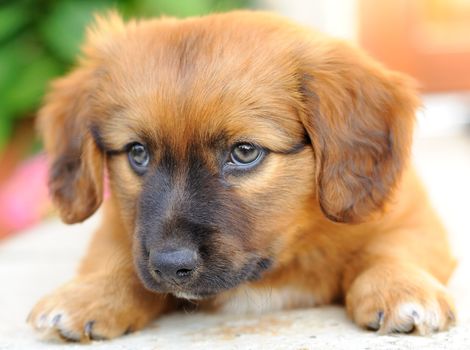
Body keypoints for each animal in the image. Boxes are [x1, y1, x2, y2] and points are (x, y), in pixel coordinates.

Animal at [28, 10, 456, 342]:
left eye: (245, 152)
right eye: (137, 153)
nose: (169, 266)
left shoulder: (411, 217)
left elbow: (391, 249)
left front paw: (400, 288)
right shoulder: (118, 227)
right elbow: (118, 260)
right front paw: (89, 294)